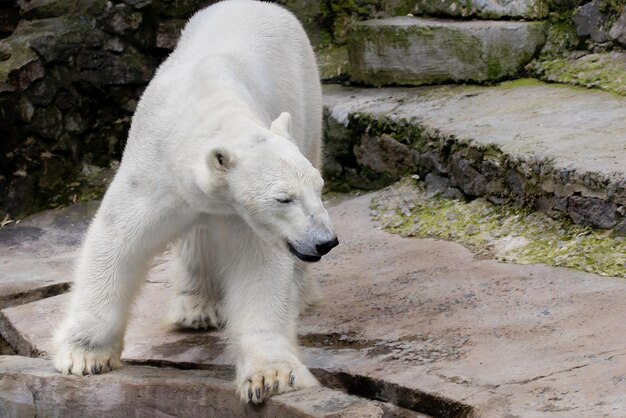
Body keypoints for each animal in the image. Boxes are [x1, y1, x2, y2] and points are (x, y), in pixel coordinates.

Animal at [53, 0, 336, 404]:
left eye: (319, 187)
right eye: (283, 198)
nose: (325, 241)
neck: (208, 102)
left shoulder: (243, 213)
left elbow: (258, 268)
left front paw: (271, 377)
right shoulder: (155, 172)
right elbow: (119, 241)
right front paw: (83, 355)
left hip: (307, 98)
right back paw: (196, 308)